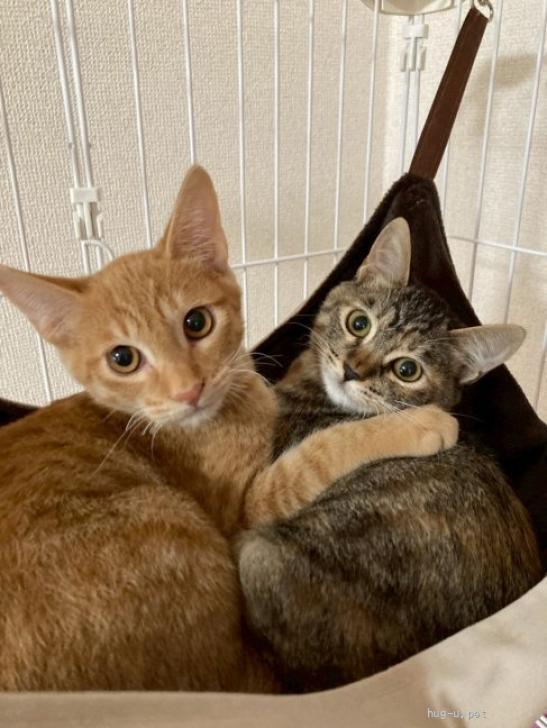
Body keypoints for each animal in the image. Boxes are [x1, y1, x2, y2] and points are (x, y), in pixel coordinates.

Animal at [0, 170, 458, 691]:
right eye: (123, 358)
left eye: (197, 322)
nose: (188, 389)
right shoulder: (245, 506)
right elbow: (322, 452)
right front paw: (424, 422)